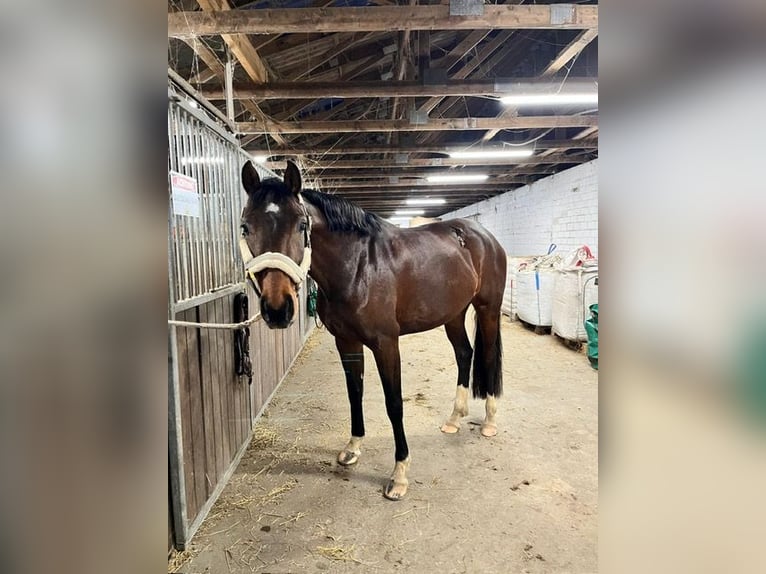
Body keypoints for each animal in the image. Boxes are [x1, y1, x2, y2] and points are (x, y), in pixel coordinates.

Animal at [239, 160, 507, 500]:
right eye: (246, 227)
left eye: (301, 225)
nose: (277, 309)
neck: (358, 267)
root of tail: (483, 236)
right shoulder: (346, 342)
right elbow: (355, 394)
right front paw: (352, 448)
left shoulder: (386, 344)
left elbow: (394, 404)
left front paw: (400, 474)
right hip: (454, 314)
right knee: (464, 354)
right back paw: (453, 419)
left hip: (488, 310)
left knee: (487, 356)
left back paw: (489, 422)